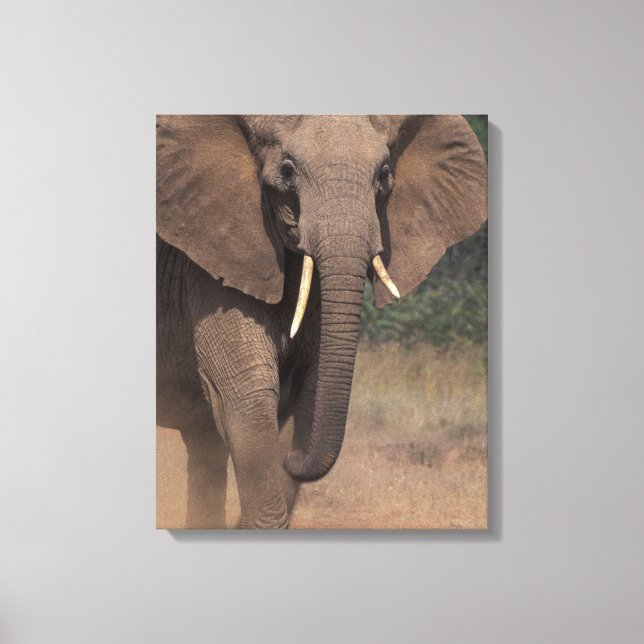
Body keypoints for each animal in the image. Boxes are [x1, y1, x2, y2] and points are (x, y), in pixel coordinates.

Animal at [156, 115, 487, 529]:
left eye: (384, 175)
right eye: (286, 171)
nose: (292, 457)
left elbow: (310, 391)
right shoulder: (213, 256)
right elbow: (247, 396)